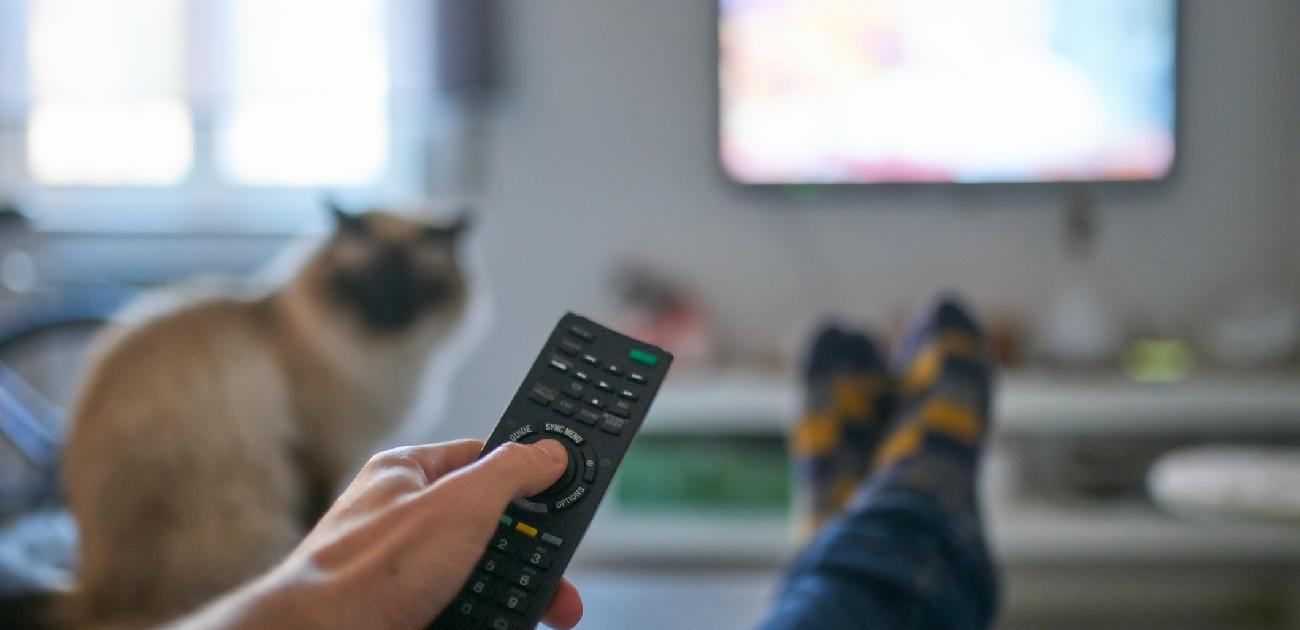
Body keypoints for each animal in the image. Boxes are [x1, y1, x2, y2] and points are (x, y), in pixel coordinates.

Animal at [62, 205, 473, 623]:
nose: (390, 314)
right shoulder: (319, 452)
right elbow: (319, 511)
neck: (381, 360)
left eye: (415, 288)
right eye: (364, 284)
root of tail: (85, 592)